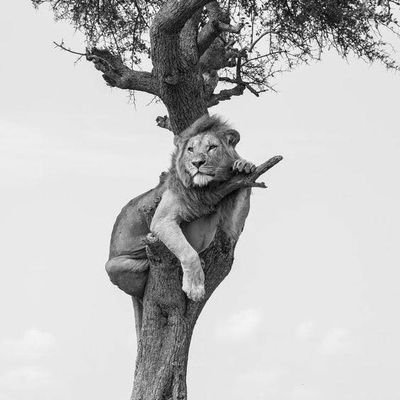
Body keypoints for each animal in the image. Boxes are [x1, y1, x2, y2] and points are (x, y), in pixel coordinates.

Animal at [104, 115, 255, 332]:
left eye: (212, 147)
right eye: (190, 149)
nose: (197, 163)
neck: (206, 188)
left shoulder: (226, 224)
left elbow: (231, 227)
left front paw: (243, 166)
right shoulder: (162, 220)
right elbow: (187, 252)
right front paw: (195, 289)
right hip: (112, 266)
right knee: (138, 287)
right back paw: (147, 263)